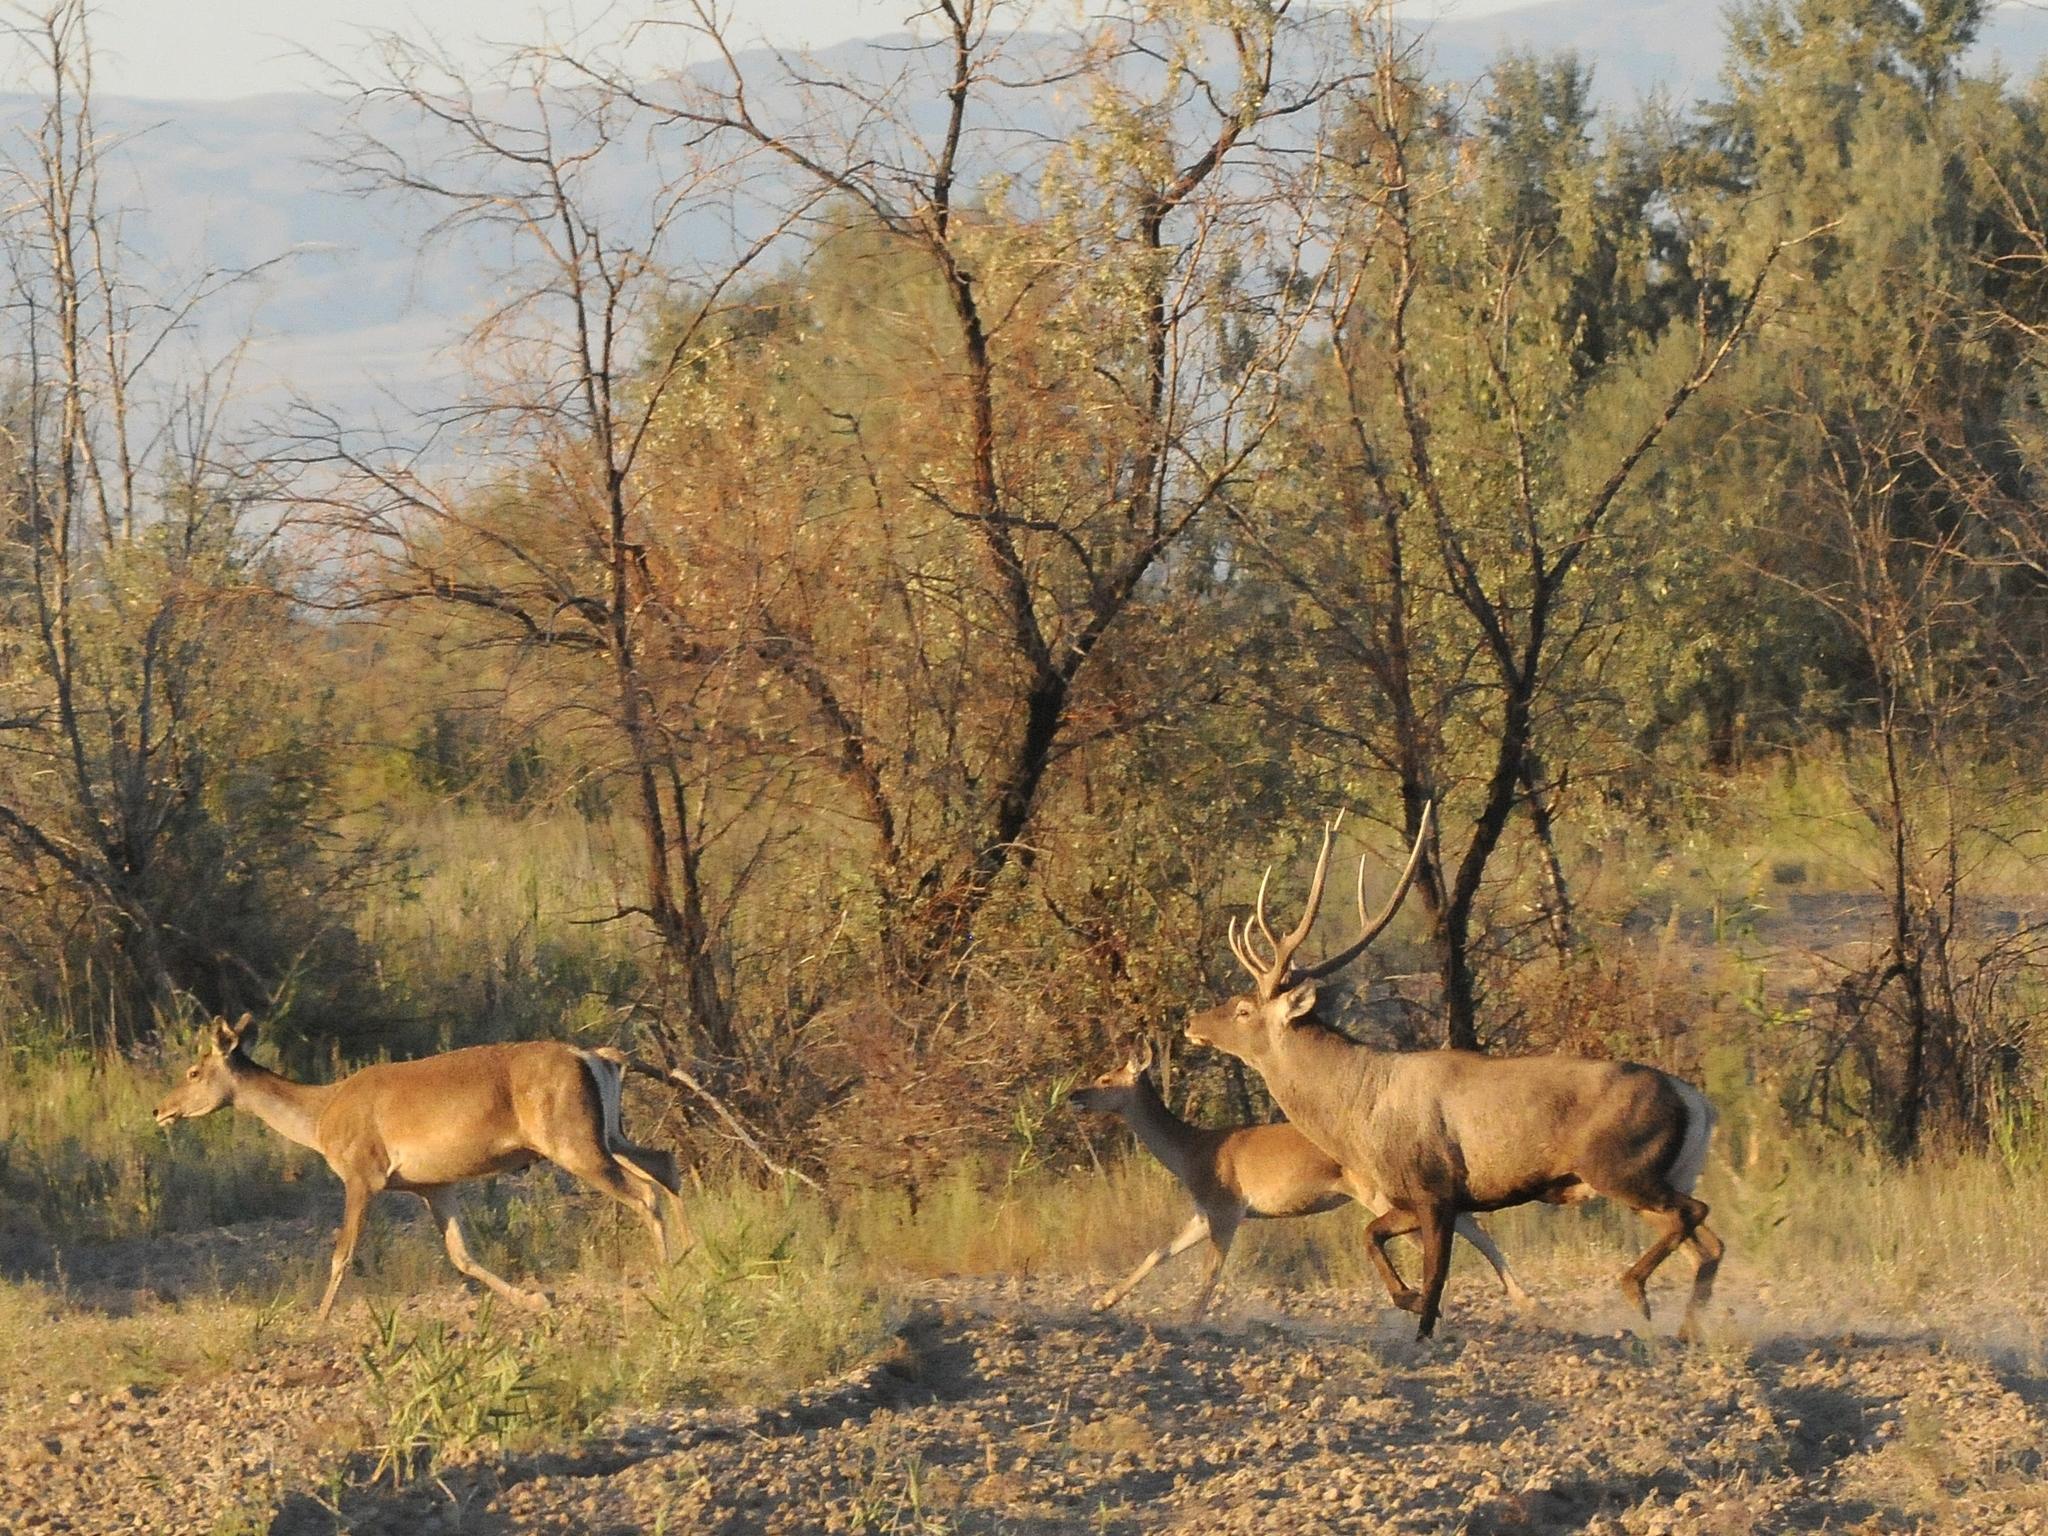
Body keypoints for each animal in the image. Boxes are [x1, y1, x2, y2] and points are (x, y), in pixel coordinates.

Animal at [153, 1014, 686, 1320]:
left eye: (193, 1071)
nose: (160, 1110)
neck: (320, 1117)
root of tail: (598, 1056)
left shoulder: (362, 1173)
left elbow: (342, 1253)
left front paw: (318, 1320)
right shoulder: (434, 1184)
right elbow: (461, 1255)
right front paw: (539, 1299)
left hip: (572, 1141)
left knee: (644, 1193)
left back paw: (666, 1271)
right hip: (608, 1134)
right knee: (665, 1164)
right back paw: (690, 1251)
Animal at [1070, 1037, 1534, 1320]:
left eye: (1106, 1078)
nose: (1075, 1094)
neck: (1188, 1152)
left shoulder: (1225, 1207)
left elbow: (1209, 1273)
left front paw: (1192, 1322)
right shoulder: (1204, 1212)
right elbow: (1158, 1253)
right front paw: (1100, 1302)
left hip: (1378, 1192)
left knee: (1449, 1231)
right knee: (1467, 1224)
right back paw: (1520, 1300)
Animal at [1182, 805, 1722, 1341]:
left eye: (1243, 1010)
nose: (1191, 1023)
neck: (1358, 1111)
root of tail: (1698, 1102)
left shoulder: (1435, 1187)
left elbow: (1435, 1276)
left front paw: (1423, 1328)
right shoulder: (1408, 1197)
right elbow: (1370, 1236)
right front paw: (1405, 1300)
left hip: (1621, 1165)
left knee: (1694, 1214)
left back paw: (1637, 1292)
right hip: (1658, 1174)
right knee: (1708, 1243)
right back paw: (1686, 1329)